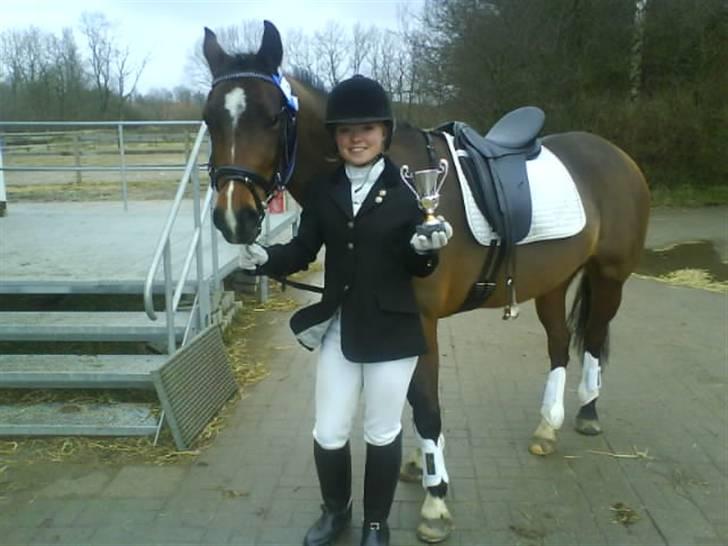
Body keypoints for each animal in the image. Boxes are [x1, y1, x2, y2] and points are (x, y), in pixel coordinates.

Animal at [202, 21, 650, 543]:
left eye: (274, 118)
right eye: (209, 119)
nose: (234, 218)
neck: (381, 176)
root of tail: (614, 154)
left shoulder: (420, 320)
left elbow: (424, 404)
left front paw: (436, 501)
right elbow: (412, 404)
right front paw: (419, 464)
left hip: (610, 276)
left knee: (594, 338)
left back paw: (588, 412)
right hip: (553, 281)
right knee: (559, 343)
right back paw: (547, 426)